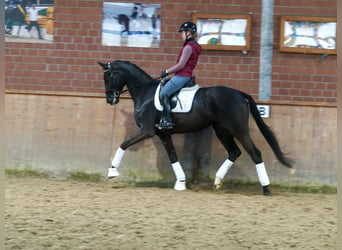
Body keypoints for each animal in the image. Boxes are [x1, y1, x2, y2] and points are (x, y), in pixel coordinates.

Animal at [97, 60, 292, 195]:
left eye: (108, 76)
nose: (110, 99)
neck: (145, 93)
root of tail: (238, 93)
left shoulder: (147, 130)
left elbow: (124, 143)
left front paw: (112, 171)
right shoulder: (163, 134)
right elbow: (173, 156)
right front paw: (181, 182)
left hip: (239, 130)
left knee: (255, 153)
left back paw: (266, 188)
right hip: (222, 130)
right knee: (234, 152)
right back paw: (217, 181)